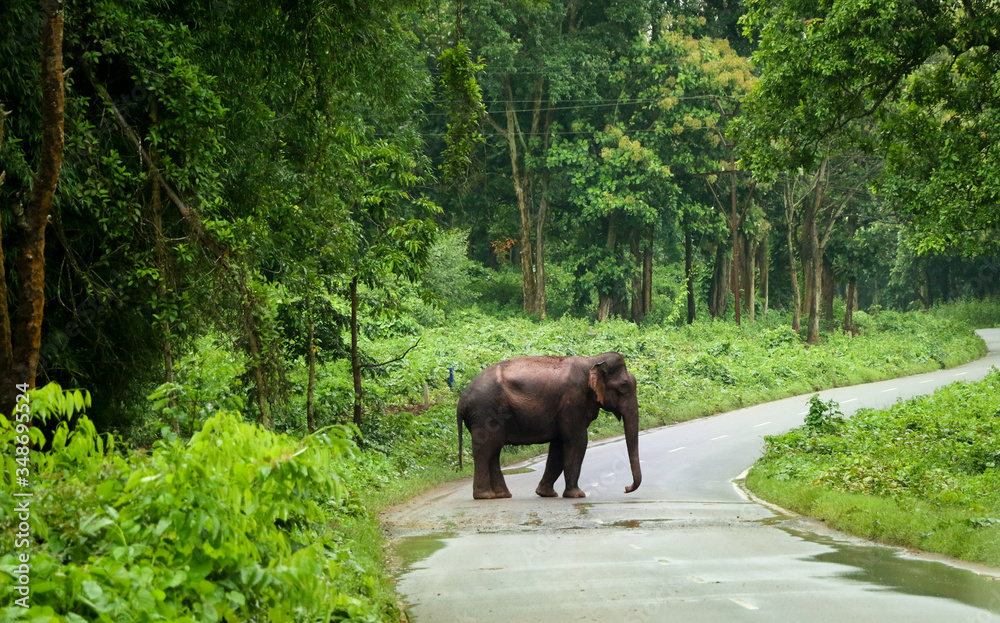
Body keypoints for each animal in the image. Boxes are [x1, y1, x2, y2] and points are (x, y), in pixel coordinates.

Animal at [457, 352, 641, 499]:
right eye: (623, 386)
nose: (626, 488)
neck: (592, 360)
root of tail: (462, 400)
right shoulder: (573, 402)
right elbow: (577, 441)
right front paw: (577, 495)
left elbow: (558, 446)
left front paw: (545, 494)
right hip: (485, 413)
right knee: (485, 450)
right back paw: (484, 496)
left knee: (493, 451)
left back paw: (502, 495)